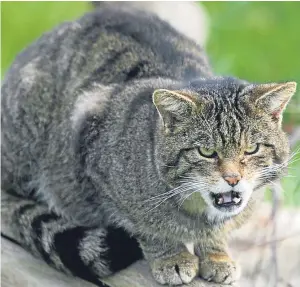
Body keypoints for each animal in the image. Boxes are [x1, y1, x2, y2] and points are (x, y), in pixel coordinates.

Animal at [0, 2, 296, 287]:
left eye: (252, 149)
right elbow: (147, 227)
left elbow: (219, 233)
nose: (233, 178)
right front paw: (172, 258)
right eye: (206, 152)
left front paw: (217, 256)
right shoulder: (94, 159)